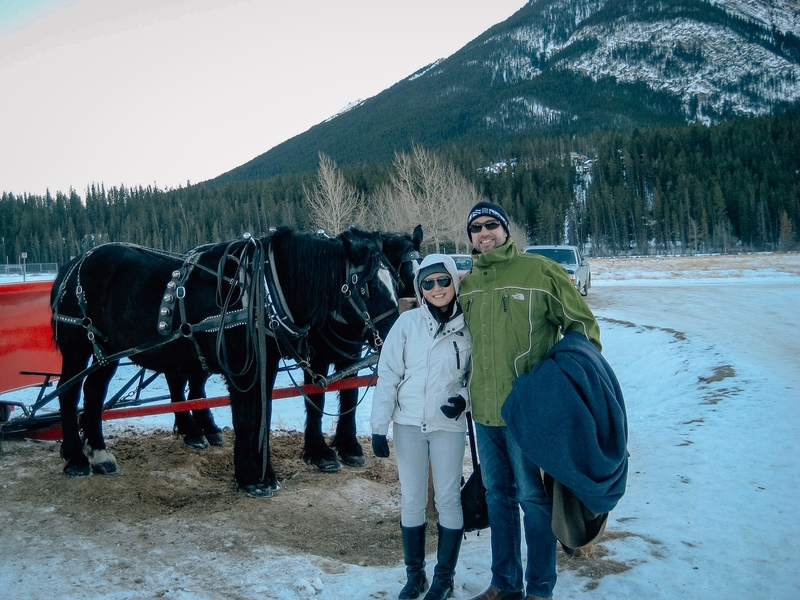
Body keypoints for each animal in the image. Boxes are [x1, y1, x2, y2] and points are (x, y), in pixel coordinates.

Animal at [50, 229, 400, 496]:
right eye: (367, 287)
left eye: (395, 283)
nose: (395, 333)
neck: (263, 290)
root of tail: (71, 263)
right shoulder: (241, 368)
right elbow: (247, 418)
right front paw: (252, 478)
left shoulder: (265, 365)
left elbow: (261, 416)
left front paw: (263, 473)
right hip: (78, 348)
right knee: (68, 393)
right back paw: (76, 459)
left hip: (105, 352)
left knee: (94, 394)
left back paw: (99, 453)